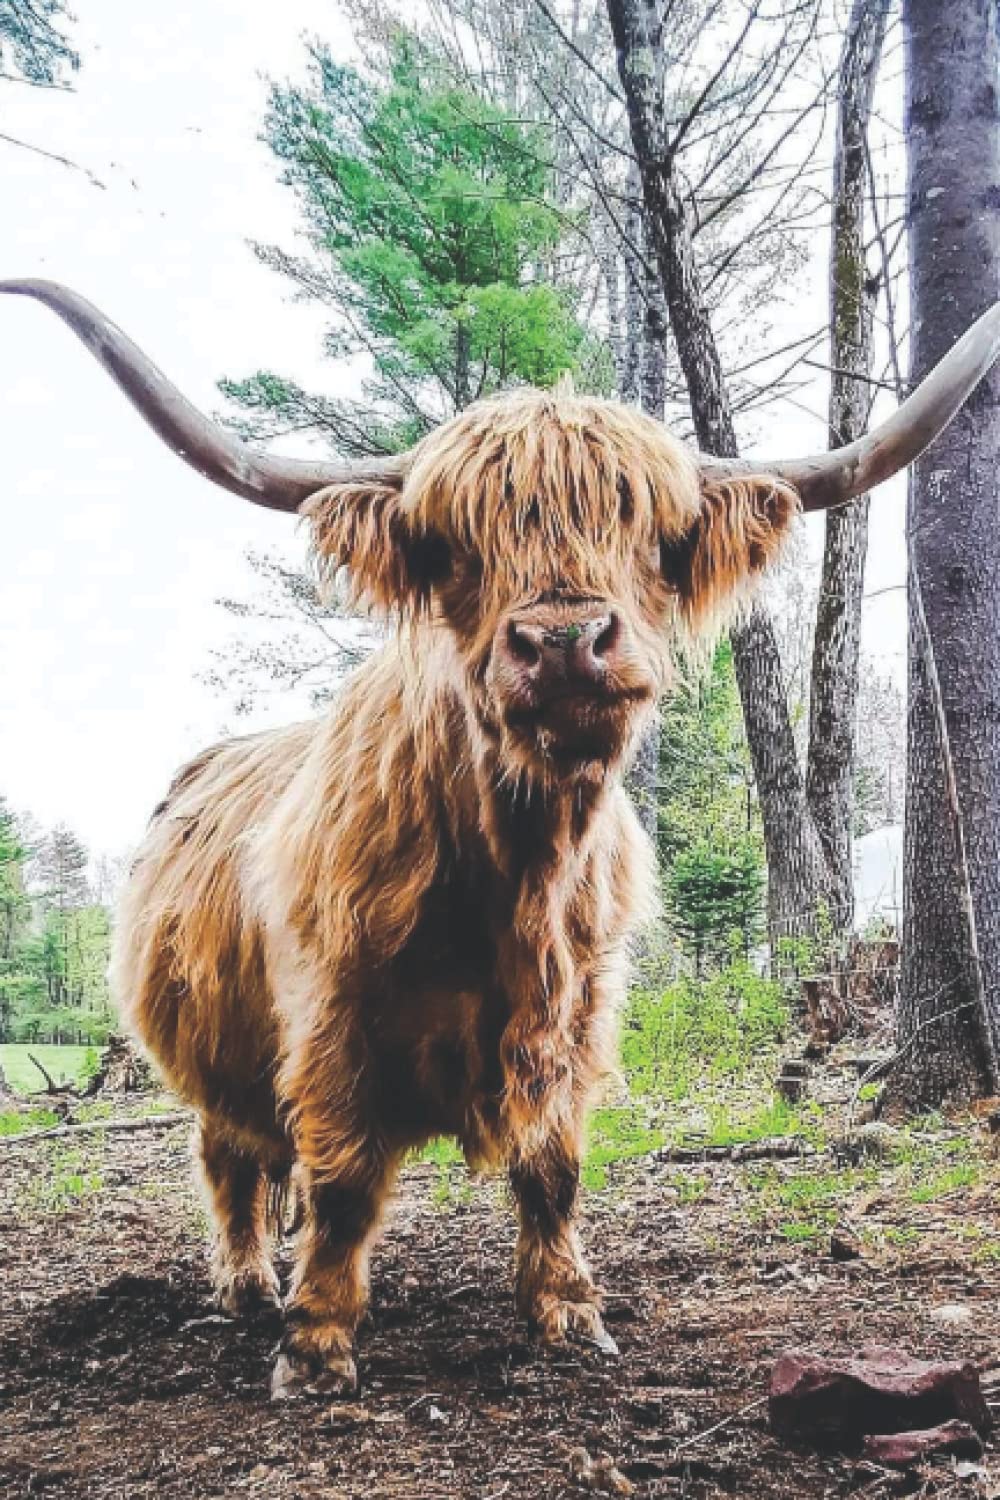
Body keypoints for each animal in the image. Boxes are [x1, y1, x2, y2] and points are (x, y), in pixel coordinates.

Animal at [4, 279, 999, 1399]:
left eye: (651, 533)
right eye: (453, 545)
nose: (563, 641)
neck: (516, 874)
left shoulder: (578, 1013)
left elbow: (552, 1170)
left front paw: (567, 1314)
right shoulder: (333, 1022)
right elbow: (343, 1179)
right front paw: (315, 1346)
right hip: (210, 1059)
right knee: (232, 1162)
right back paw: (250, 1286)